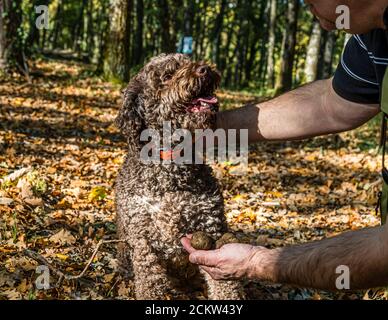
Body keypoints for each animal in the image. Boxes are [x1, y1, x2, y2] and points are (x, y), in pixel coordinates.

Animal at [113, 53, 244, 300]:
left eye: (187, 60)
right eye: (167, 75)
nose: (204, 69)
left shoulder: (211, 227)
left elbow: (225, 286)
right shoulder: (143, 241)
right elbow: (149, 284)